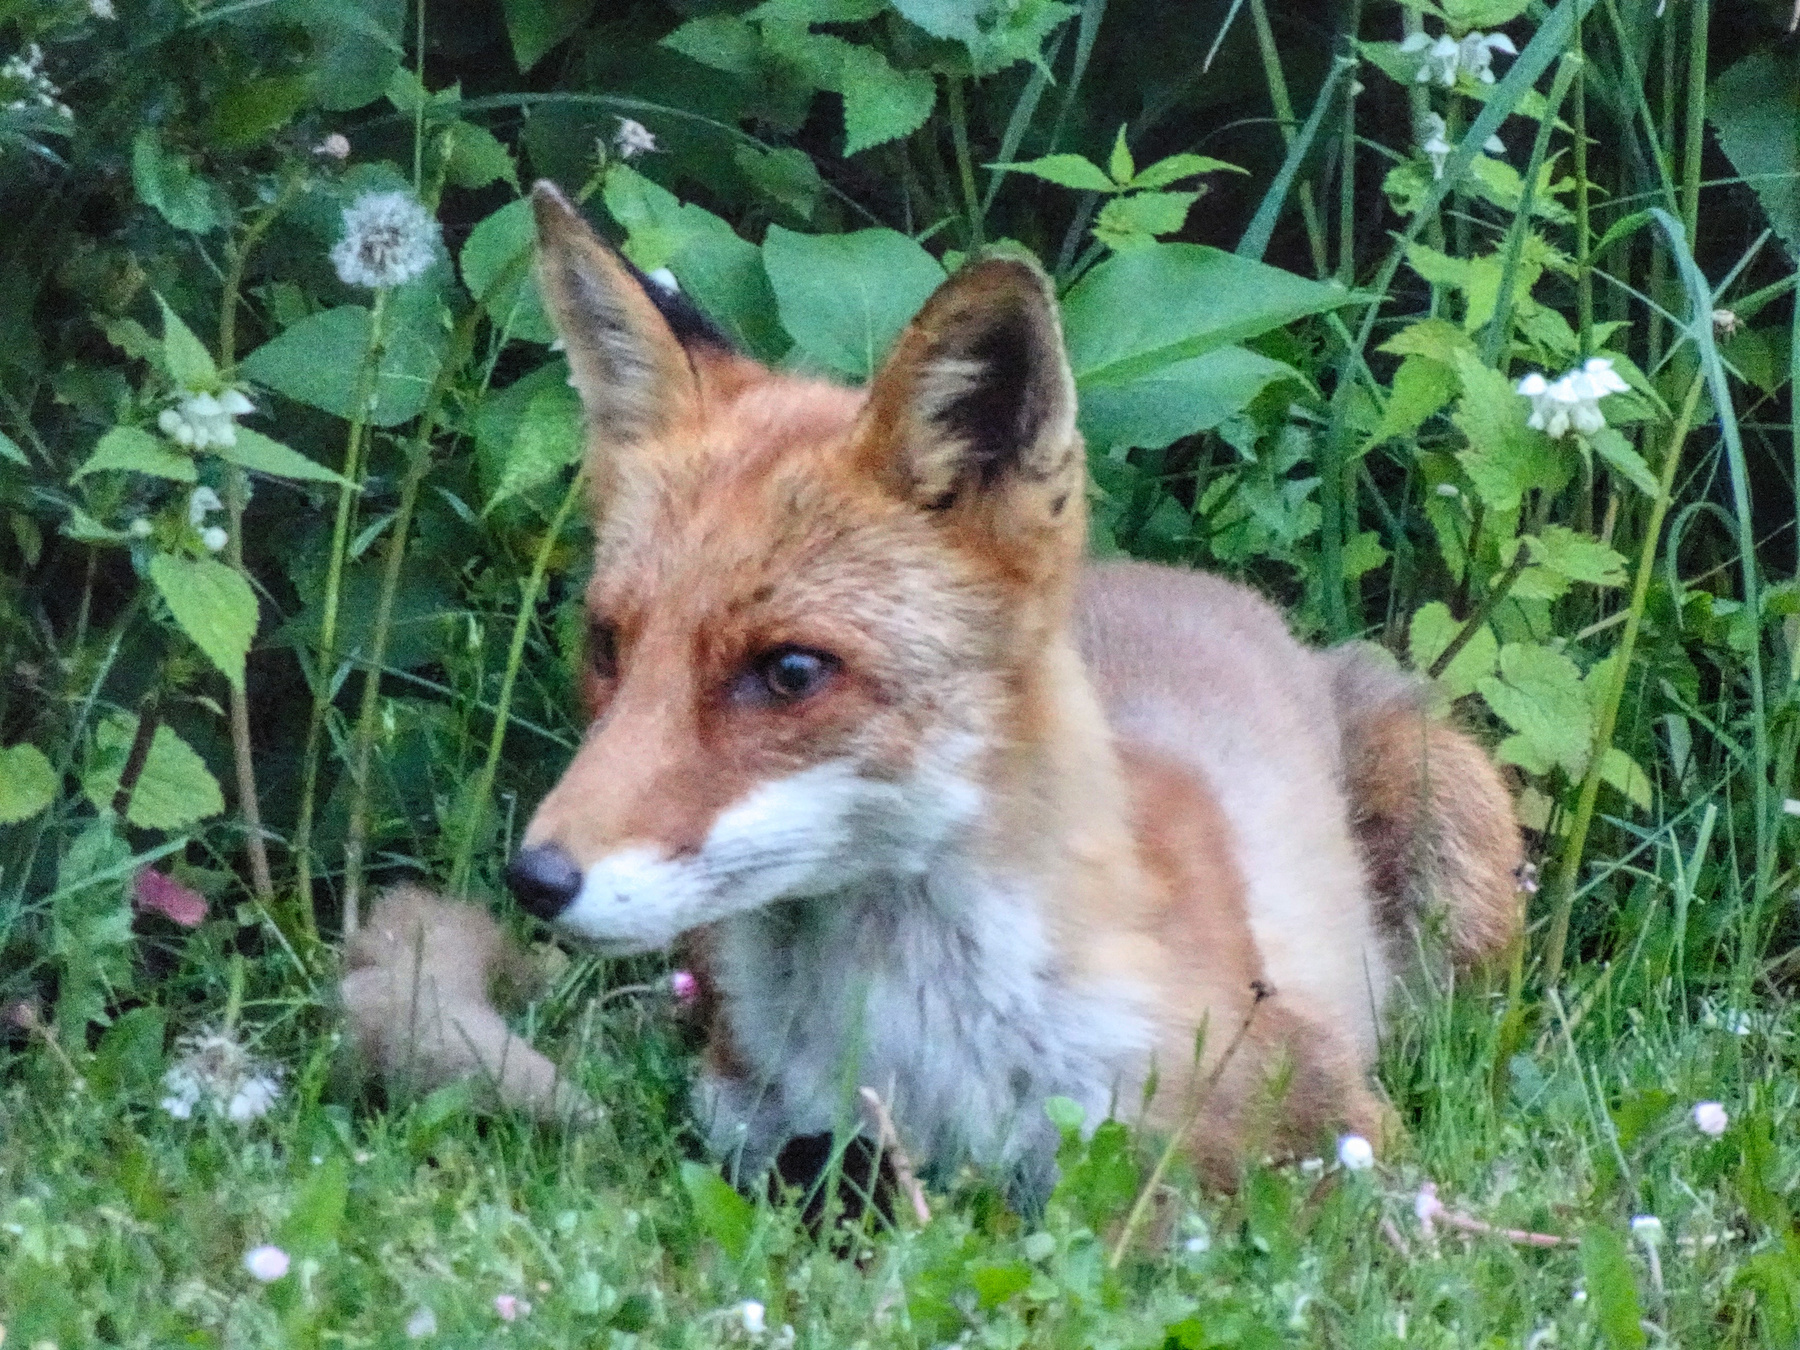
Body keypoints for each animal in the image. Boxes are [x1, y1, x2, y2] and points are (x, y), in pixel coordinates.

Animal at [493, 180, 1523, 1204]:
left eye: (790, 672)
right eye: (607, 645)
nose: (534, 879)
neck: (932, 1068)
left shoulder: (1329, 1128)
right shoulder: (739, 1114)